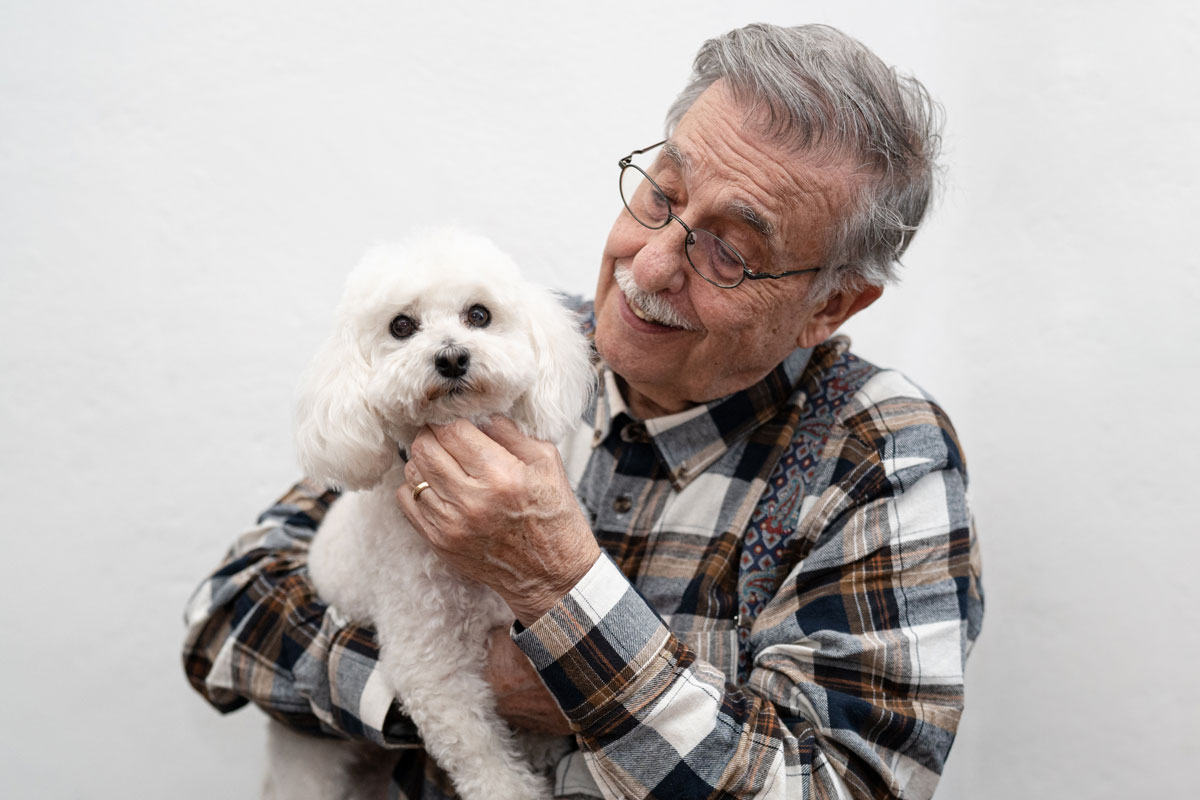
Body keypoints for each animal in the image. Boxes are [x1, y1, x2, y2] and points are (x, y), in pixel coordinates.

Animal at [266, 230, 595, 800]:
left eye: (479, 314)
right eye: (401, 326)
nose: (452, 358)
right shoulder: (431, 664)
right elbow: (486, 761)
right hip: (305, 762)